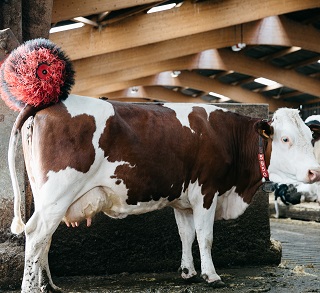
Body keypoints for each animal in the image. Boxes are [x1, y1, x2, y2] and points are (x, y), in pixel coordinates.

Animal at [8, 94, 320, 290]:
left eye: (309, 136)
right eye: (285, 139)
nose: (314, 172)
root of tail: (46, 104)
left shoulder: (183, 201)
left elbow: (186, 234)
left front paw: (188, 272)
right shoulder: (206, 191)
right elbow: (205, 236)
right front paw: (211, 275)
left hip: (46, 195)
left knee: (44, 238)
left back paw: (48, 285)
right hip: (58, 192)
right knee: (36, 235)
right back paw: (32, 288)